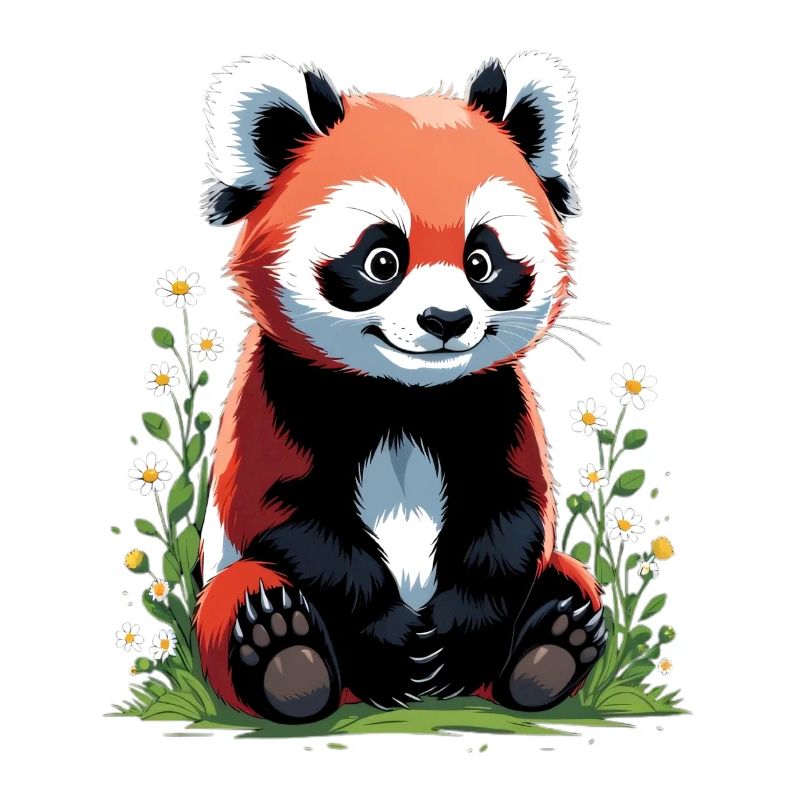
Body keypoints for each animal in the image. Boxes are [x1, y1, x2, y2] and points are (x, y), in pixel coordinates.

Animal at [194, 52, 606, 723]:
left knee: (567, 574)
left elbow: (511, 516)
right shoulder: (275, 401)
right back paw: (286, 657)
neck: (404, 396)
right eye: (381, 260)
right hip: (229, 592)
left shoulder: (495, 405)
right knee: (241, 594)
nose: (446, 321)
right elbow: (288, 517)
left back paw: (550, 646)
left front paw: (458, 639)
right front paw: (388, 644)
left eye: (481, 261)